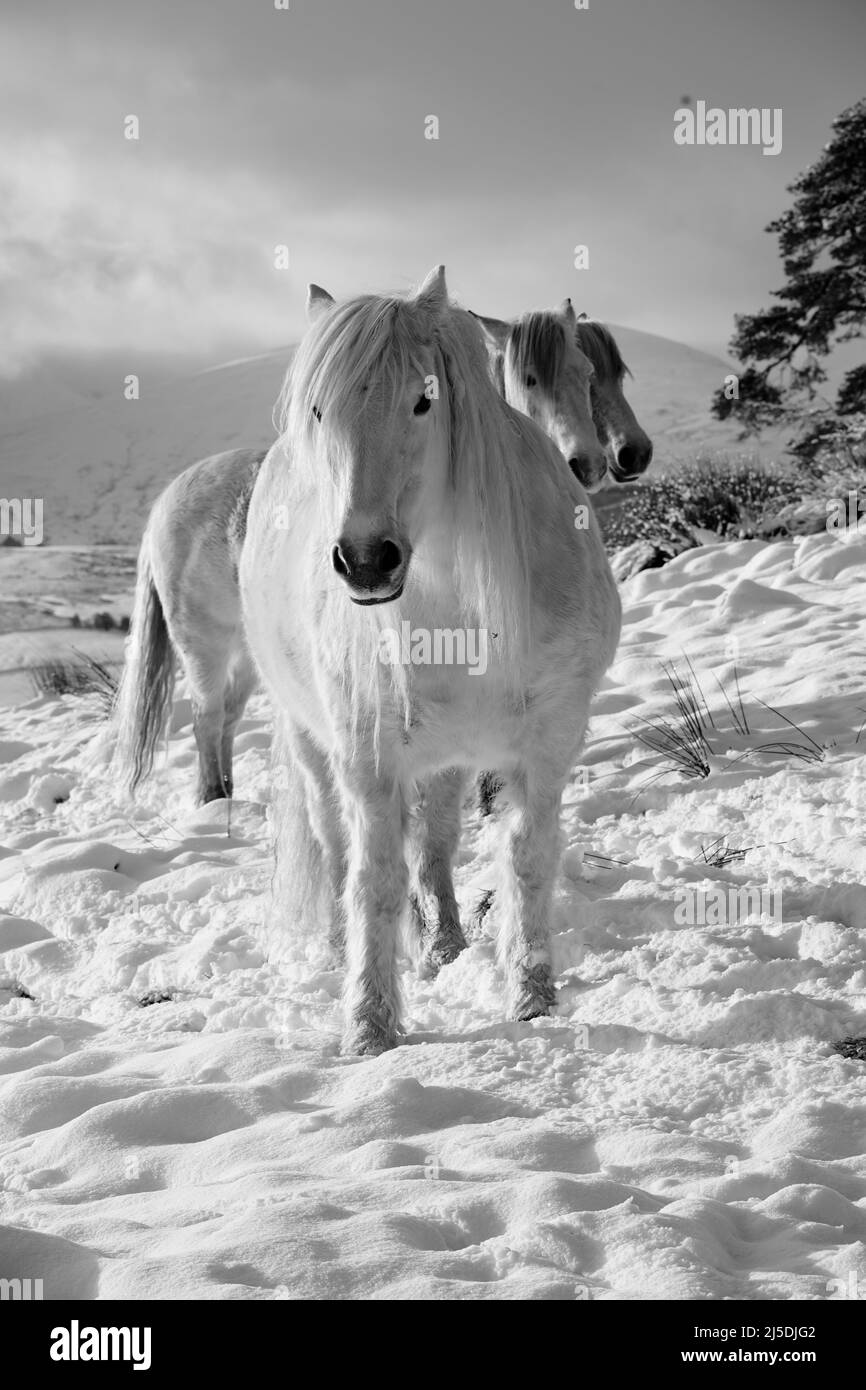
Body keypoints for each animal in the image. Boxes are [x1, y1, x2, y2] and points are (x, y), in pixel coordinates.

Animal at [240, 265, 622, 1050]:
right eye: (318, 410)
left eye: (423, 401)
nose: (365, 561)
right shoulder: (368, 754)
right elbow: (374, 879)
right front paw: (370, 1026)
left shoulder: (548, 741)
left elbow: (525, 859)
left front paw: (533, 996)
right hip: (310, 739)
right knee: (334, 844)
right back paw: (339, 949)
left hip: (450, 756)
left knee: (439, 840)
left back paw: (445, 943)